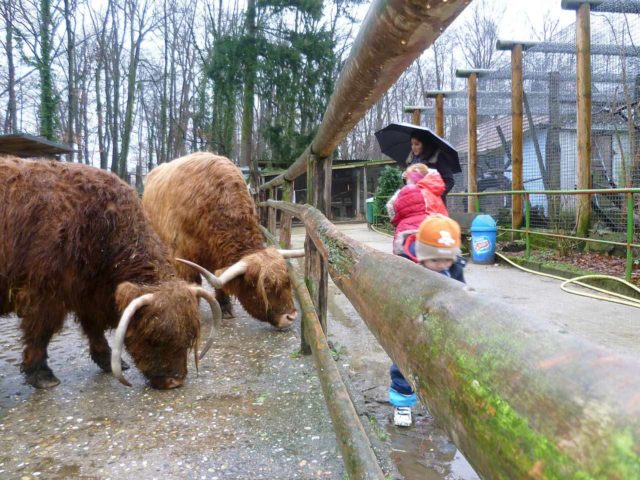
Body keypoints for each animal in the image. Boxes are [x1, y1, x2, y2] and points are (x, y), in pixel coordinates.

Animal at [0, 158, 220, 390]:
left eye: (189, 338)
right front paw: (42, 375)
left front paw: (108, 359)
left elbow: (93, 327)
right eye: (152, 337)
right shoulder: (44, 292)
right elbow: (40, 331)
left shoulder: (88, 291)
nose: (174, 381)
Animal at [142, 153, 302, 330]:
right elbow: (193, 282)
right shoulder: (181, 256)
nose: (290, 317)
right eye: (265, 287)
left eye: (287, 280)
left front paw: (225, 308)